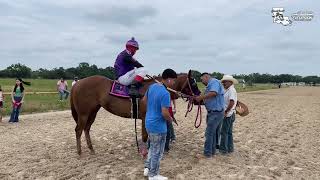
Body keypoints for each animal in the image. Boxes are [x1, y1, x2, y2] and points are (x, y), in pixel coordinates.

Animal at [70, 70, 200, 155]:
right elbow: (144, 136)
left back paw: (91, 149)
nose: (198, 97)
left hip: (93, 112)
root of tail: (77, 84)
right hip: (83, 114)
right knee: (78, 130)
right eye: (193, 83)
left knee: (86, 129)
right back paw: (80, 152)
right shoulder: (145, 117)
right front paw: (144, 152)